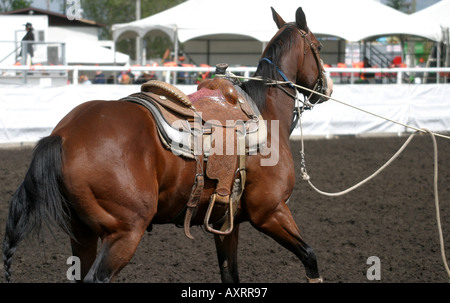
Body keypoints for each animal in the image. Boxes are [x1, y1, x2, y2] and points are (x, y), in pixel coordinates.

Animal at [1, 6, 332, 282]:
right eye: (318, 46)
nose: (326, 88)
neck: (264, 113)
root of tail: (63, 135)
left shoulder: (227, 223)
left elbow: (230, 275)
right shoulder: (271, 212)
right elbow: (310, 257)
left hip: (82, 235)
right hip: (124, 233)